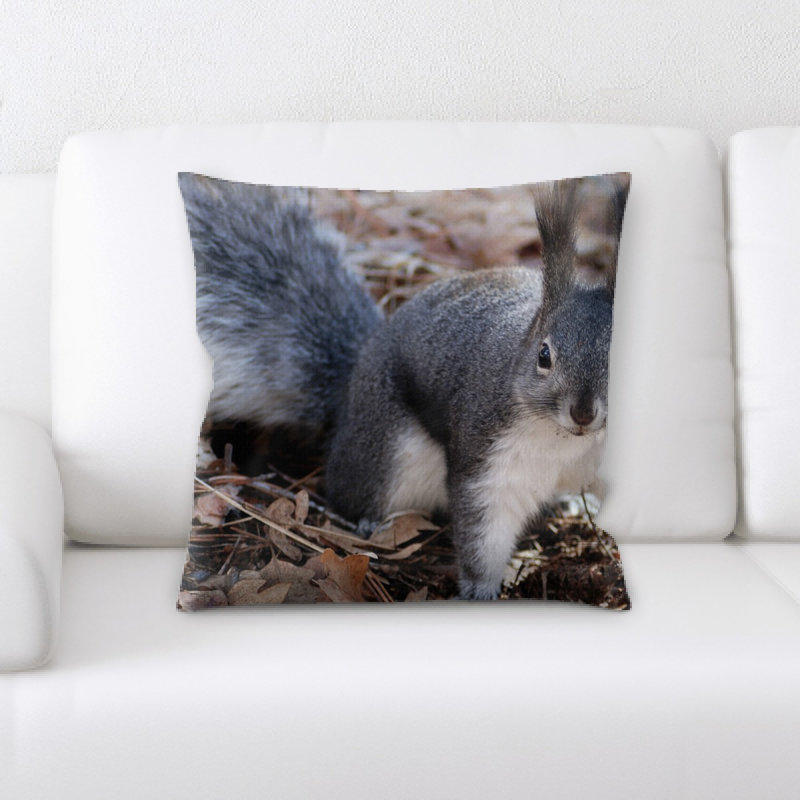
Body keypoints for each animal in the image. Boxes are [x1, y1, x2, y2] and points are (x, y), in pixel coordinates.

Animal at [178, 173, 630, 600]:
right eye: (543, 355)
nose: (583, 412)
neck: (566, 441)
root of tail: (352, 388)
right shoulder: (489, 456)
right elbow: (483, 531)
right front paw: (480, 592)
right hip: (389, 452)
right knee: (348, 489)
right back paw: (365, 522)